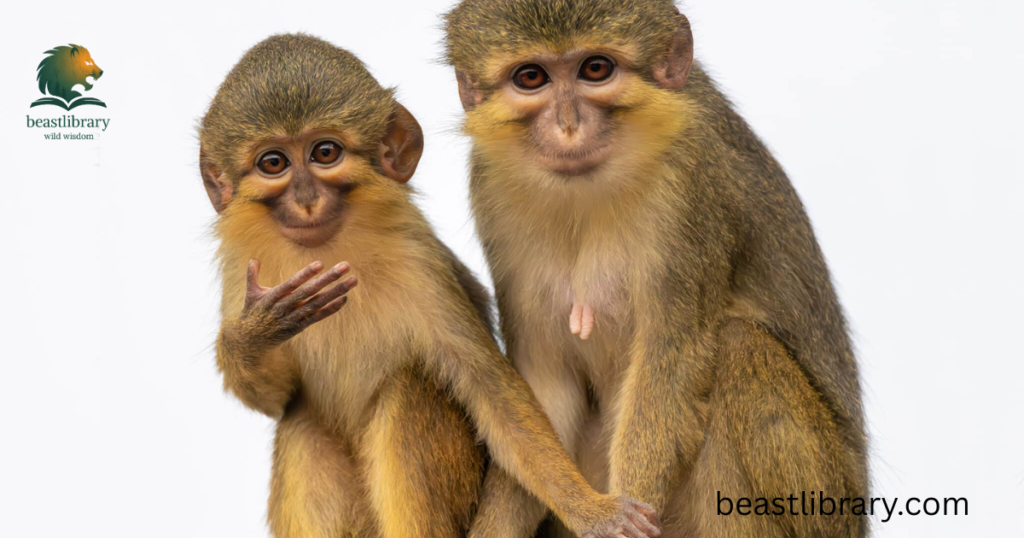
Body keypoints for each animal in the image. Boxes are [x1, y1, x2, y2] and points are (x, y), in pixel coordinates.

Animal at [199, 34, 663, 538]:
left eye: (324, 153)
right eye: (274, 163)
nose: (305, 200)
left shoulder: (421, 266)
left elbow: (491, 392)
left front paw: (589, 508)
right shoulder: (240, 271)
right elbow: (275, 398)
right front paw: (258, 331)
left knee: (410, 386)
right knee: (302, 422)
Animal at [443, 2, 869, 537]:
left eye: (596, 69)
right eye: (531, 77)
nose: (568, 126)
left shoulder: (691, 183)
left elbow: (671, 357)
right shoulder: (491, 189)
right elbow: (545, 383)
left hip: (827, 502)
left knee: (738, 346)